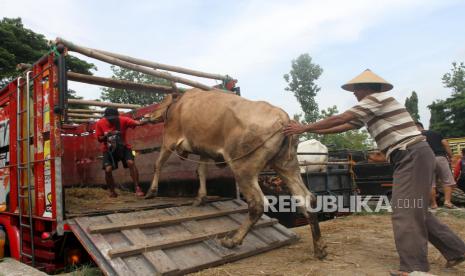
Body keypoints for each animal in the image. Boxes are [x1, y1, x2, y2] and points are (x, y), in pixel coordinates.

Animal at [144, 89, 326, 258]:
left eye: (160, 103)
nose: (146, 115)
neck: (180, 105)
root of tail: (284, 118)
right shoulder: (204, 150)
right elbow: (200, 171)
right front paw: (200, 198)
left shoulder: (169, 139)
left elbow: (158, 164)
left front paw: (151, 192)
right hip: (287, 166)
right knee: (307, 198)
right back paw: (319, 248)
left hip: (243, 169)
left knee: (257, 203)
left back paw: (232, 241)